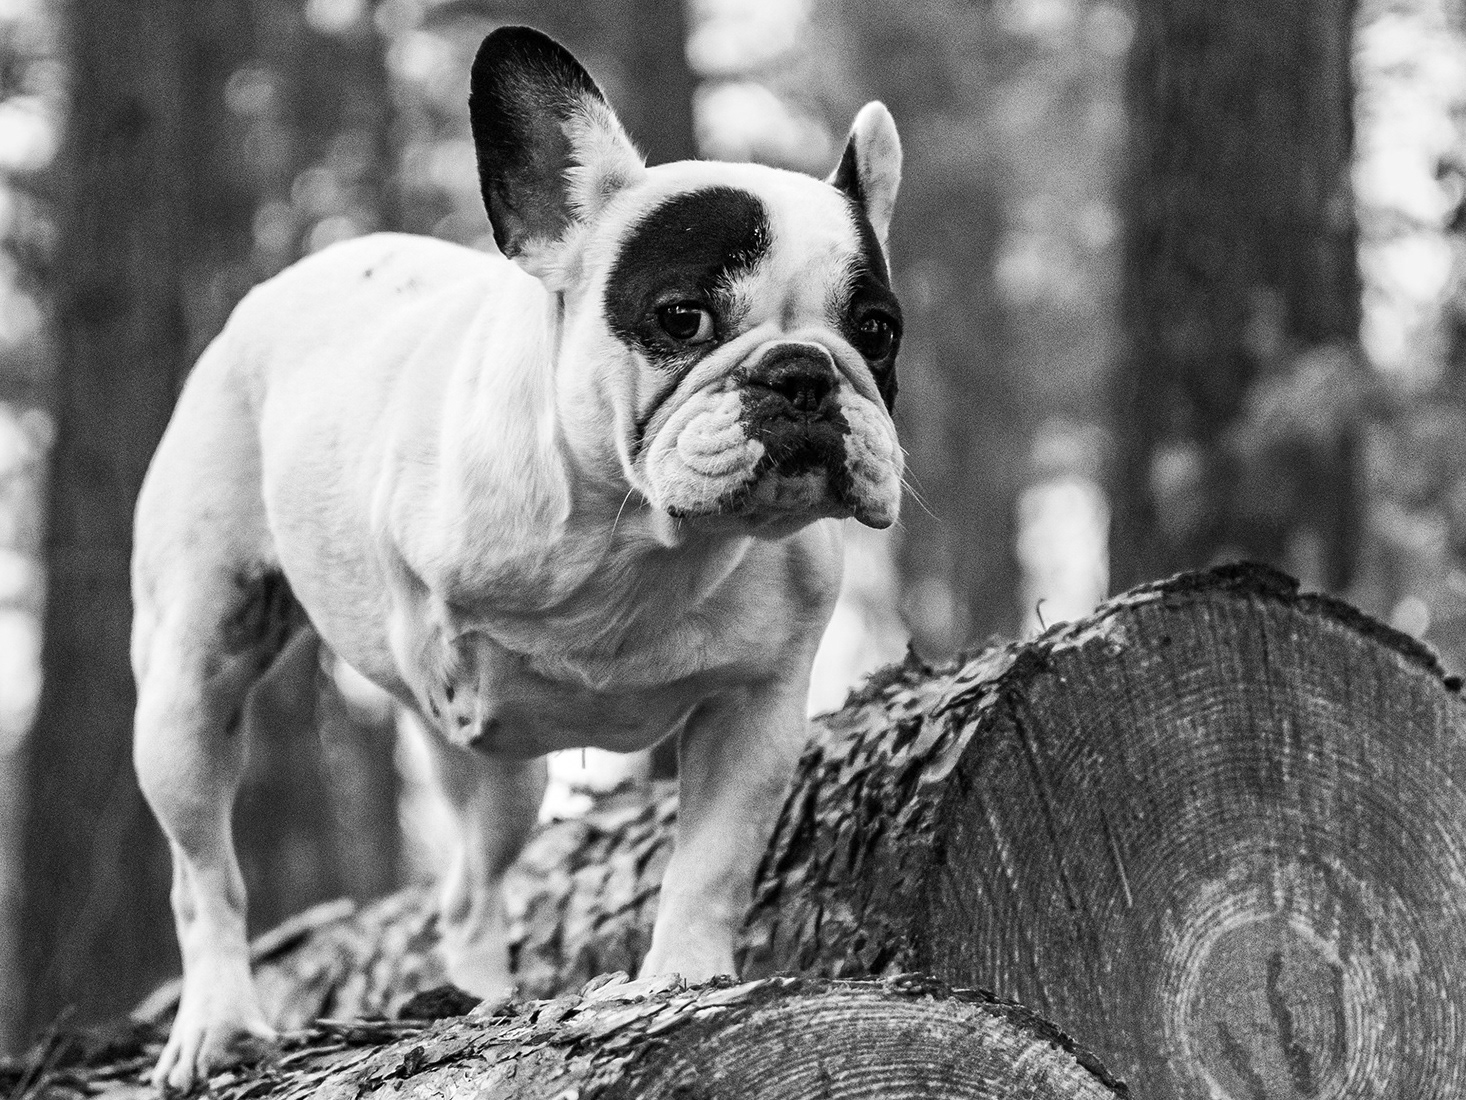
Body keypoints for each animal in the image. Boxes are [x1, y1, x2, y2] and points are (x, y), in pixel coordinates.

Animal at [131, 25, 903, 1089]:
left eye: (878, 331)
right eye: (681, 317)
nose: (805, 372)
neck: (645, 539)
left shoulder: (758, 712)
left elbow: (711, 861)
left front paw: (687, 977)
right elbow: (433, 628)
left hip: (508, 791)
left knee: (470, 888)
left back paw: (480, 999)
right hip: (191, 680)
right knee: (204, 877)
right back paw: (216, 1022)